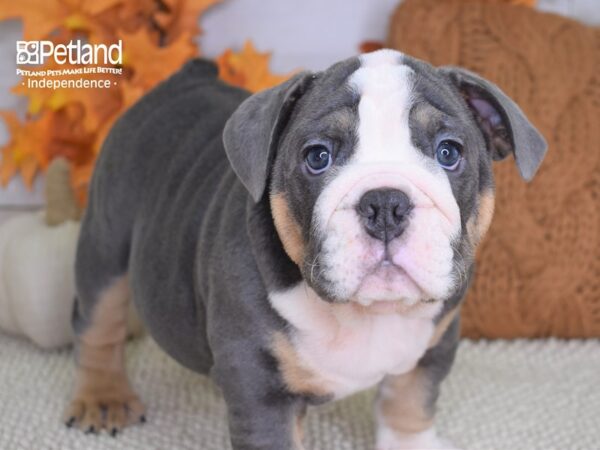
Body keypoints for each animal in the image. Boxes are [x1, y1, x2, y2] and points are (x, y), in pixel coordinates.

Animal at [63, 50, 548, 450]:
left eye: (449, 152)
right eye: (318, 157)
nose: (386, 204)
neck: (368, 312)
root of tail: (183, 77)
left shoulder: (433, 344)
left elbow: (409, 404)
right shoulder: (260, 387)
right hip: (106, 241)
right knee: (96, 321)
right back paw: (103, 397)